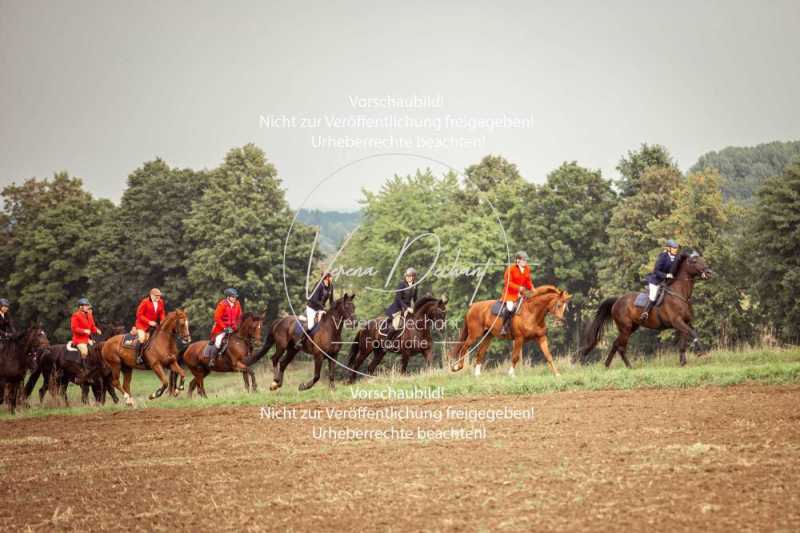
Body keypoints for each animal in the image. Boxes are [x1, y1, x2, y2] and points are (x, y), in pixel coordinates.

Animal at [576, 249, 712, 366]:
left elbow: (685, 341)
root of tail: (617, 301)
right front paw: (702, 352)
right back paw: (629, 366)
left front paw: (683, 362)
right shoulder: (677, 321)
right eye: (694, 261)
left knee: (615, 344)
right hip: (625, 328)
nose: (709, 272)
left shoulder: (685, 322)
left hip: (632, 327)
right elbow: (693, 333)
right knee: (620, 347)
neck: (680, 294)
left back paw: (607, 366)